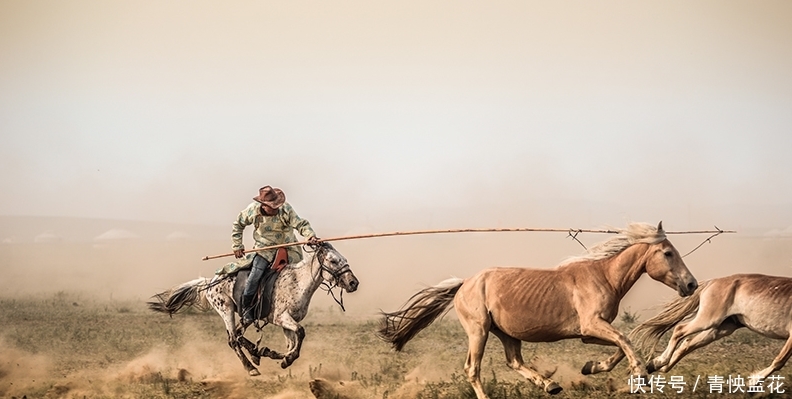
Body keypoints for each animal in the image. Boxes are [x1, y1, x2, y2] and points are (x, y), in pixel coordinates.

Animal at [148, 242, 358, 376]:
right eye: (333, 260)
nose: (353, 283)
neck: (298, 282)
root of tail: (209, 282)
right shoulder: (282, 318)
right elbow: (300, 333)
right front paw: (285, 359)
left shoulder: (286, 322)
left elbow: (291, 343)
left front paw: (282, 357)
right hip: (226, 309)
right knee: (233, 339)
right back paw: (251, 367)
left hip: (244, 316)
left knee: (239, 335)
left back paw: (258, 354)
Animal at [376, 223, 692, 398]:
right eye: (668, 253)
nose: (690, 284)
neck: (602, 276)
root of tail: (465, 283)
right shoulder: (591, 325)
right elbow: (625, 340)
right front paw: (640, 376)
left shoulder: (590, 332)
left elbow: (620, 345)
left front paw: (592, 367)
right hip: (478, 331)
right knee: (472, 368)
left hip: (506, 333)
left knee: (514, 362)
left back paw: (550, 385)